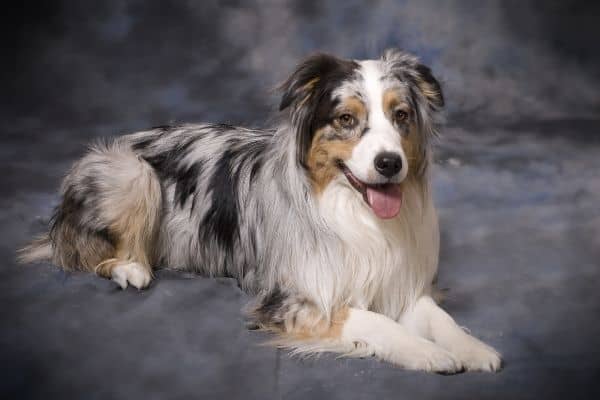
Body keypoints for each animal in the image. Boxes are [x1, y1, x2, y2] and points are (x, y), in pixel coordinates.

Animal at [19, 49, 502, 372]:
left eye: (401, 115)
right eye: (346, 119)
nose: (389, 163)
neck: (354, 213)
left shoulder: (398, 282)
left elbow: (438, 317)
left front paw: (471, 348)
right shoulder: (293, 297)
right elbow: (373, 320)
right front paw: (427, 352)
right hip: (133, 173)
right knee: (87, 255)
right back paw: (130, 269)